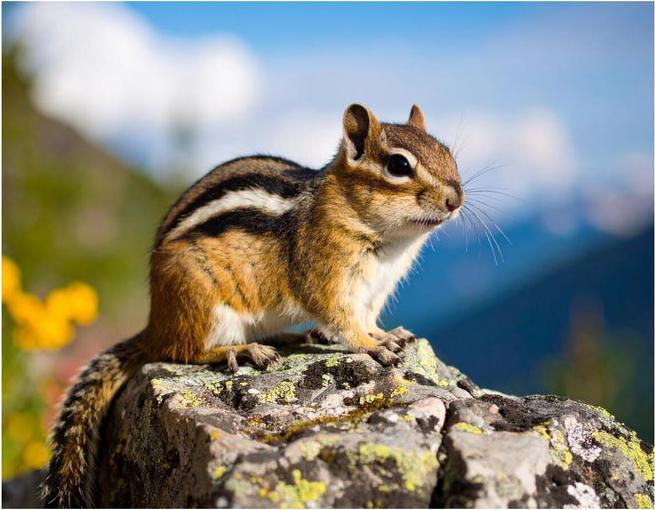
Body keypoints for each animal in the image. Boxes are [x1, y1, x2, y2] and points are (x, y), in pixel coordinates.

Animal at [42, 103, 464, 508]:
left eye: (447, 153)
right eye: (399, 165)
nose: (456, 200)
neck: (388, 240)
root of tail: (155, 324)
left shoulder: (376, 290)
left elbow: (367, 317)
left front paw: (389, 334)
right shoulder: (325, 277)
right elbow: (343, 321)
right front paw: (373, 346)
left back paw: (291, 338)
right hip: (203, 306)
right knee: (185, 351)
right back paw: (242, 350)